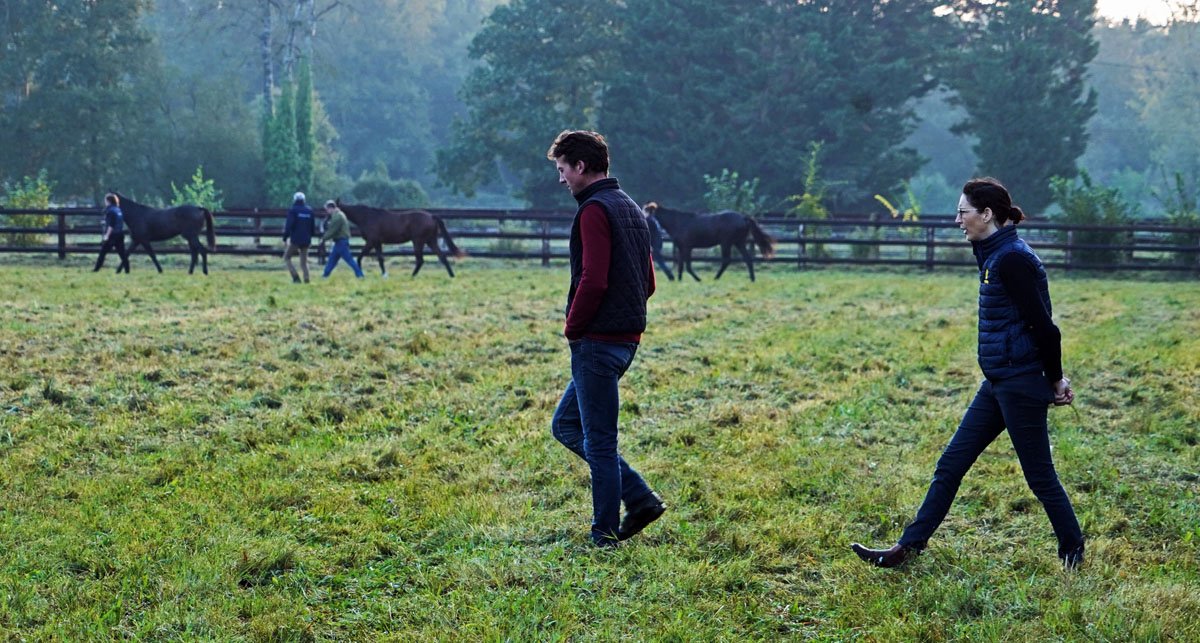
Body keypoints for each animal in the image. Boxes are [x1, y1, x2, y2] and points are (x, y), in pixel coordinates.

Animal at [336, 201, 465, 277]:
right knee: (442, 256)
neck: (367, 217)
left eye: (334, 206)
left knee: (420, 260)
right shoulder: (377, 243)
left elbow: (360, 257)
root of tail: (432, 216)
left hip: (418, 241)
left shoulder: (371, 241)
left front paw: (360, 273)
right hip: (430, 241)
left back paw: (412, 276)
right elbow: (380, 259)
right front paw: (384, 275)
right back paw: (451, 275)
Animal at [642, 202, 775, 282]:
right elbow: (681, 264)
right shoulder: (681, 247)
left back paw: (716, 277)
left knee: (727, 260)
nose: (642, 216)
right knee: (747, 259)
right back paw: (752, 279)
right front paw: (679, 279)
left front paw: (697, 279)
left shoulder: (687, 247)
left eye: (646, 210)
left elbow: (687, 265)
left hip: (726, 242)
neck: (679, 222)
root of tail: (744, 217)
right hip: (739, 242)